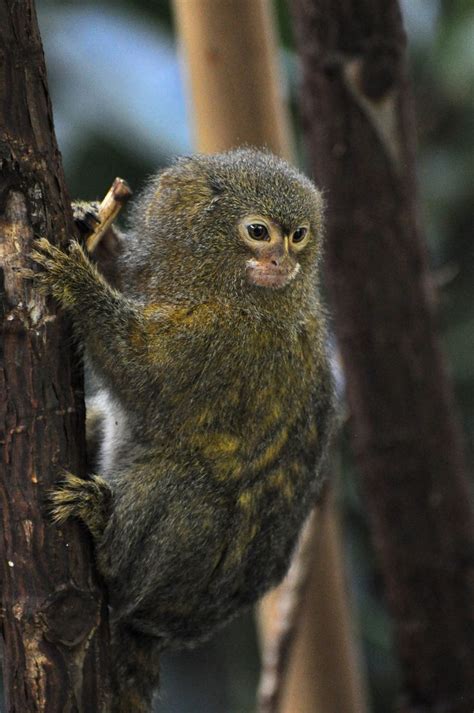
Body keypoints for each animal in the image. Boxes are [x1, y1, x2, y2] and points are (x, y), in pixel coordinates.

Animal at [28, 148, 335, 712]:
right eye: (260, 231)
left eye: (299, 235)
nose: (283, 262)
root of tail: (162, 632)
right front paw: (96, 229)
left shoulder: (228, 340)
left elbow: (145, 378)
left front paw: (77, 282)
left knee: (181, 482)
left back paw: (106, 539)